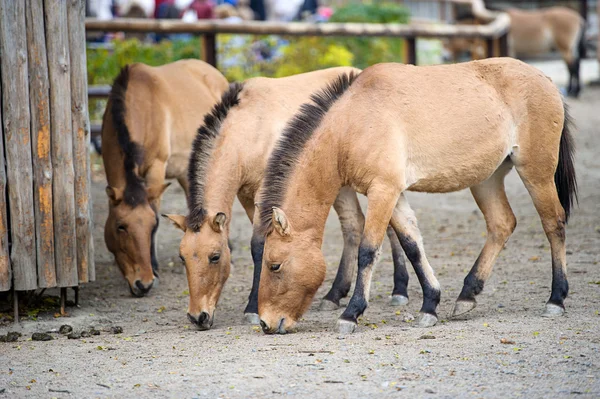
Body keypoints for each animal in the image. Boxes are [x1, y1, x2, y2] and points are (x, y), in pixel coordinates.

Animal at [162, 67, 410, 332]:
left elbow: (258, 246)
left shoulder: (264, 195)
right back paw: (333, 295)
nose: (198, 317)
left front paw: (252, 309)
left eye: (215, 256)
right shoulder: (247, 197)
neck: (247, 128)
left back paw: (399, 291)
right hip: (340, 187)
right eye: (182, 257)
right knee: (354, 224)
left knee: (389, 229)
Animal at [256, 57, 576, 336]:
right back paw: (466, 296)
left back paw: (556, 299)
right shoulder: (394, 194)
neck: (353, 123)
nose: (265, 323)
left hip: (536, 172)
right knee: (502, 224)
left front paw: (351, 314)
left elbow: (368, 250)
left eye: (275, 265)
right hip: (487, 179)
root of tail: (545, 80)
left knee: (554, 223)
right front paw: (430, 306)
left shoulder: (383, 191)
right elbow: (412, 246)